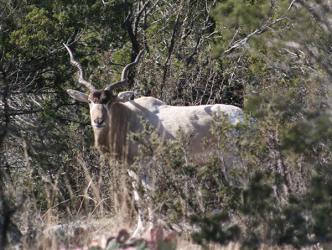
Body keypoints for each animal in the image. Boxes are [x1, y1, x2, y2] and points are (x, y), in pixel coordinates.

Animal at [64, 44, 246, 236]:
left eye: (109, 101)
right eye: (90, 101)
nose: (98, 121)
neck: (129, 117)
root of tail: (247, 118)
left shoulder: (147, 165)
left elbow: (150, 196)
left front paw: (151, 230)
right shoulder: (133, 169)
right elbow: (139, 199)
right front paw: (138, 232)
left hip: (234, 161)